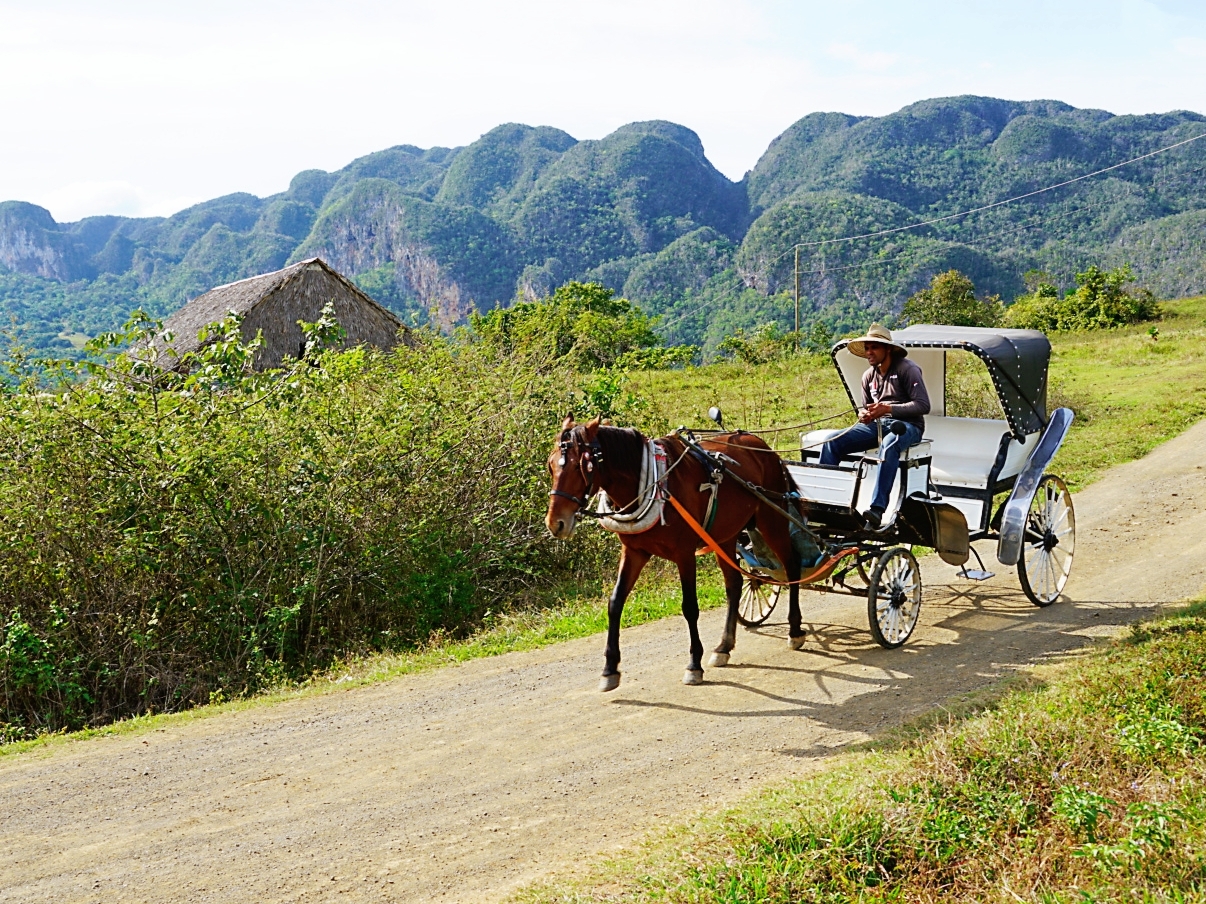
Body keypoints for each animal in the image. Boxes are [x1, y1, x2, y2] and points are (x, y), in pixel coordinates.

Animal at [545, 417, 800, 694]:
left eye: (582, 466)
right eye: (551, 465)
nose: (555, 523)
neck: (655, 487)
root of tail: (762, 445)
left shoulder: (684, 554)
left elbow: (690, 607)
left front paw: (693, 664)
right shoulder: (634, 552)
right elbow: (615, 603)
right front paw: (609, 669)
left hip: (771, 519)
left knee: (792, 566)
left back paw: (795, 630)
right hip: (725, 535)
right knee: (734, 583)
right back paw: (724, 646)